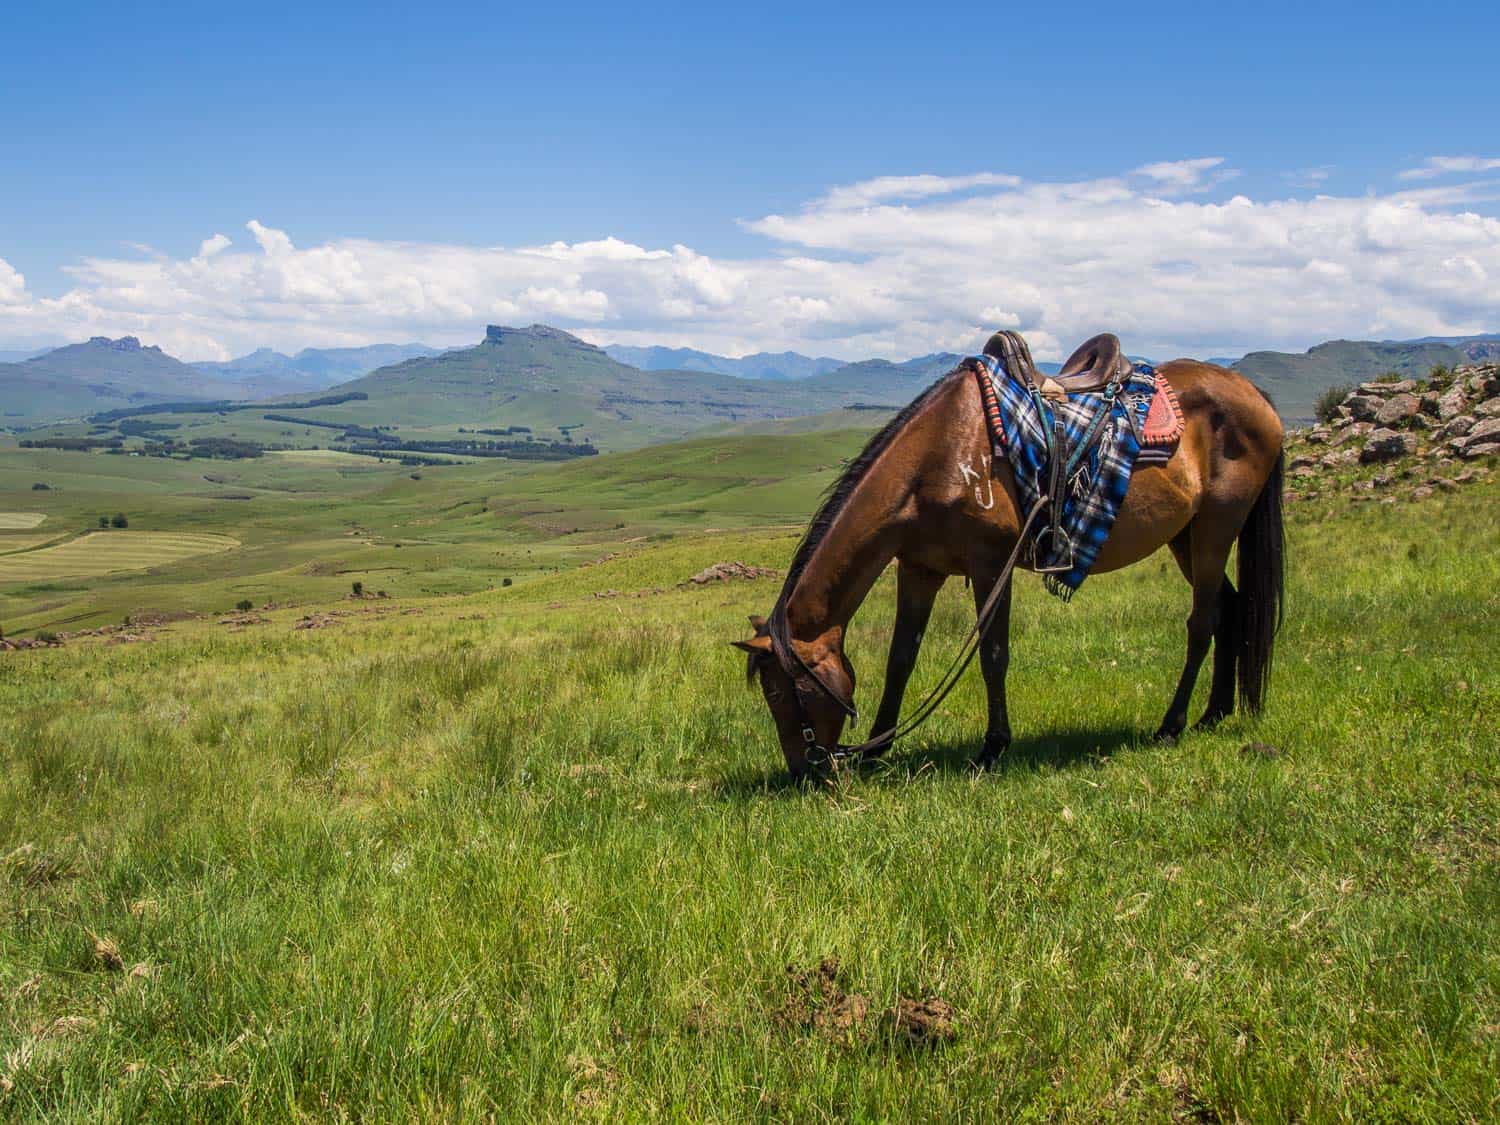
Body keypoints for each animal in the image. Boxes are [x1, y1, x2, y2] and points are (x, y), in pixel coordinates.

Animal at [732, 330, 1284, 780]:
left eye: (779, 693)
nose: (803, 771)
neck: (936, 458)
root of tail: (1254, 394)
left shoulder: (989, 564)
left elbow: (993, 655)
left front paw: (993, 749)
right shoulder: (919, 568)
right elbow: (900, 658)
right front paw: (877, 750)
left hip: (1216, 527)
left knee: (1201, 621)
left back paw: (1172, 725)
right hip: (1185, 536)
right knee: (1229, 609)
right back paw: (1214, 715)